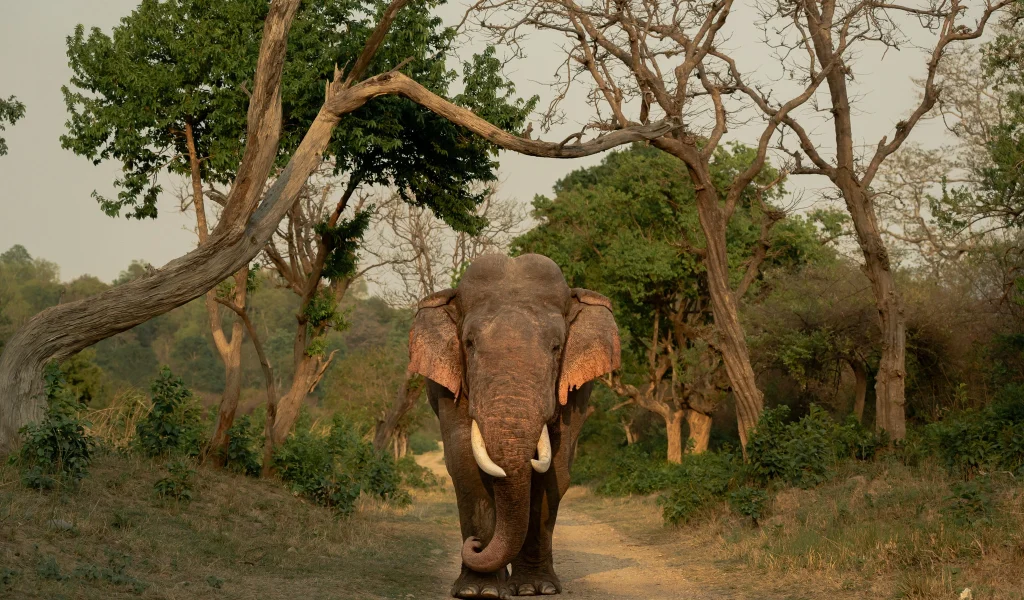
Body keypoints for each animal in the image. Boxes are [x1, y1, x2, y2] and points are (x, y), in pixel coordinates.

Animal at [407, 253, 620, 599]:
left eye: (557, 346)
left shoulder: (576, 391)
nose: (475, 546)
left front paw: (536, 588)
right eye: (469, 343)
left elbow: (555, 470)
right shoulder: (447, 386)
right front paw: (477, 591)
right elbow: (464, 462)